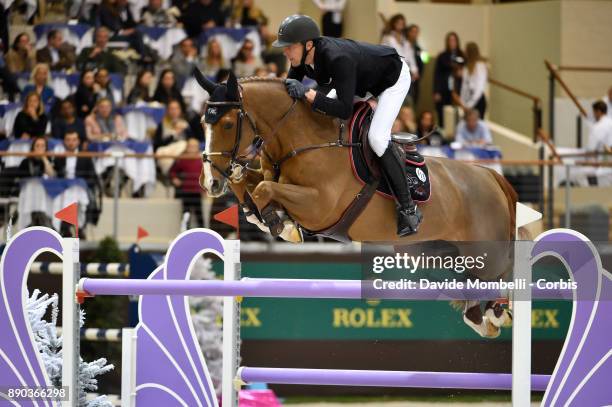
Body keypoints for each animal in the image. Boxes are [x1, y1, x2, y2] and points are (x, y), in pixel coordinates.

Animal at [196, 71, 516, 340]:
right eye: (202, 124)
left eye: (227, 124)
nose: (209, 182)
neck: (303, 139)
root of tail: (490, 176)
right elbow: (248, 184)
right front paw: (262, 213)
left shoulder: (319, 206)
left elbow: (264, 189)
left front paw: (281, 223)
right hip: (429, 253)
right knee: (467, 285)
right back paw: (481, 314)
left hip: (486, 252)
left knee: (503, 272)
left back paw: (498, 311)